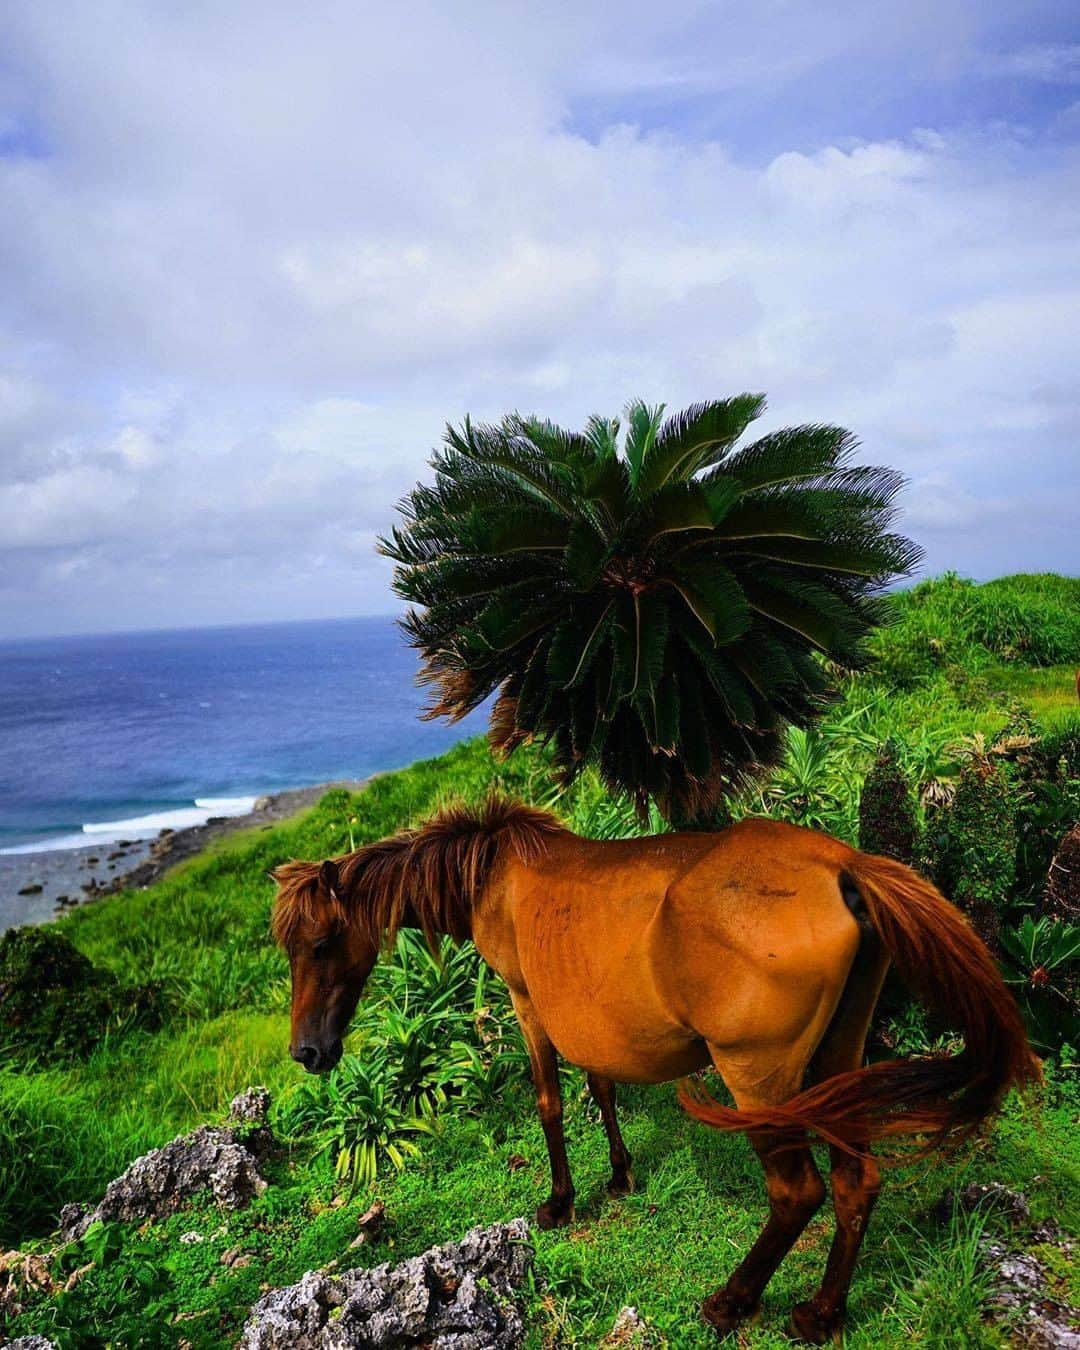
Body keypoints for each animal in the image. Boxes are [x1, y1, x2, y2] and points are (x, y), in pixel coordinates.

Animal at [270, 793, 1036, 1344]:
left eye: (321, 942)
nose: (307, 1052)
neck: (494, 875)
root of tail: (842, 866)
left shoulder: (526, 1004)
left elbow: (549, 1103)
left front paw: (560, 1202)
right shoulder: (590, 1023)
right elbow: (601, 1086)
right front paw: (619, 1174)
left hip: (760, 1081)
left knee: (798, 1193)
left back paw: (732, 1301)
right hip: (837, 1062)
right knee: (856, 1182)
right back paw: (821, 1313)